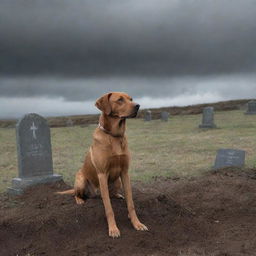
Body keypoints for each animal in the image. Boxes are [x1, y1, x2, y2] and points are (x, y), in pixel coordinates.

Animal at [57, 92, 147, 238]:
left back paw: (117, 195)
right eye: (120, 100)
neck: (114, 136)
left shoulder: (125, 173)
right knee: (77, 194)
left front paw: (137, 223)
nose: (138, 106)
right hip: (81, 180)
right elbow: (109, 208)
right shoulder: (102, 174)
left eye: (131, 99)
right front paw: (113, 229)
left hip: (117, 182)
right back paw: (80, 200)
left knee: (111, 194)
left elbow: (131, 203)